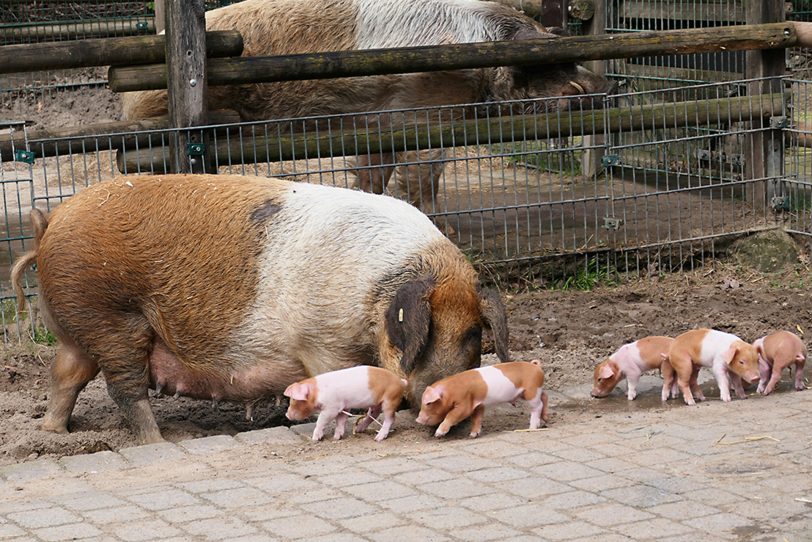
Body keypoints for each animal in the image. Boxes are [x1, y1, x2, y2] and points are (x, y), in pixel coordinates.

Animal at [11, 175, 508, 446]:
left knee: (65, 374)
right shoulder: (322, 342)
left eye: (473, 335)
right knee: (125, 389)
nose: (449, 397)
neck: (374, 296)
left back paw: (54, 434)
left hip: (80, 328)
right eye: (427, 330)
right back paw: (156, 440)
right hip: (110, 316)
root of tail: (50, 225)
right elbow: (340, 382)